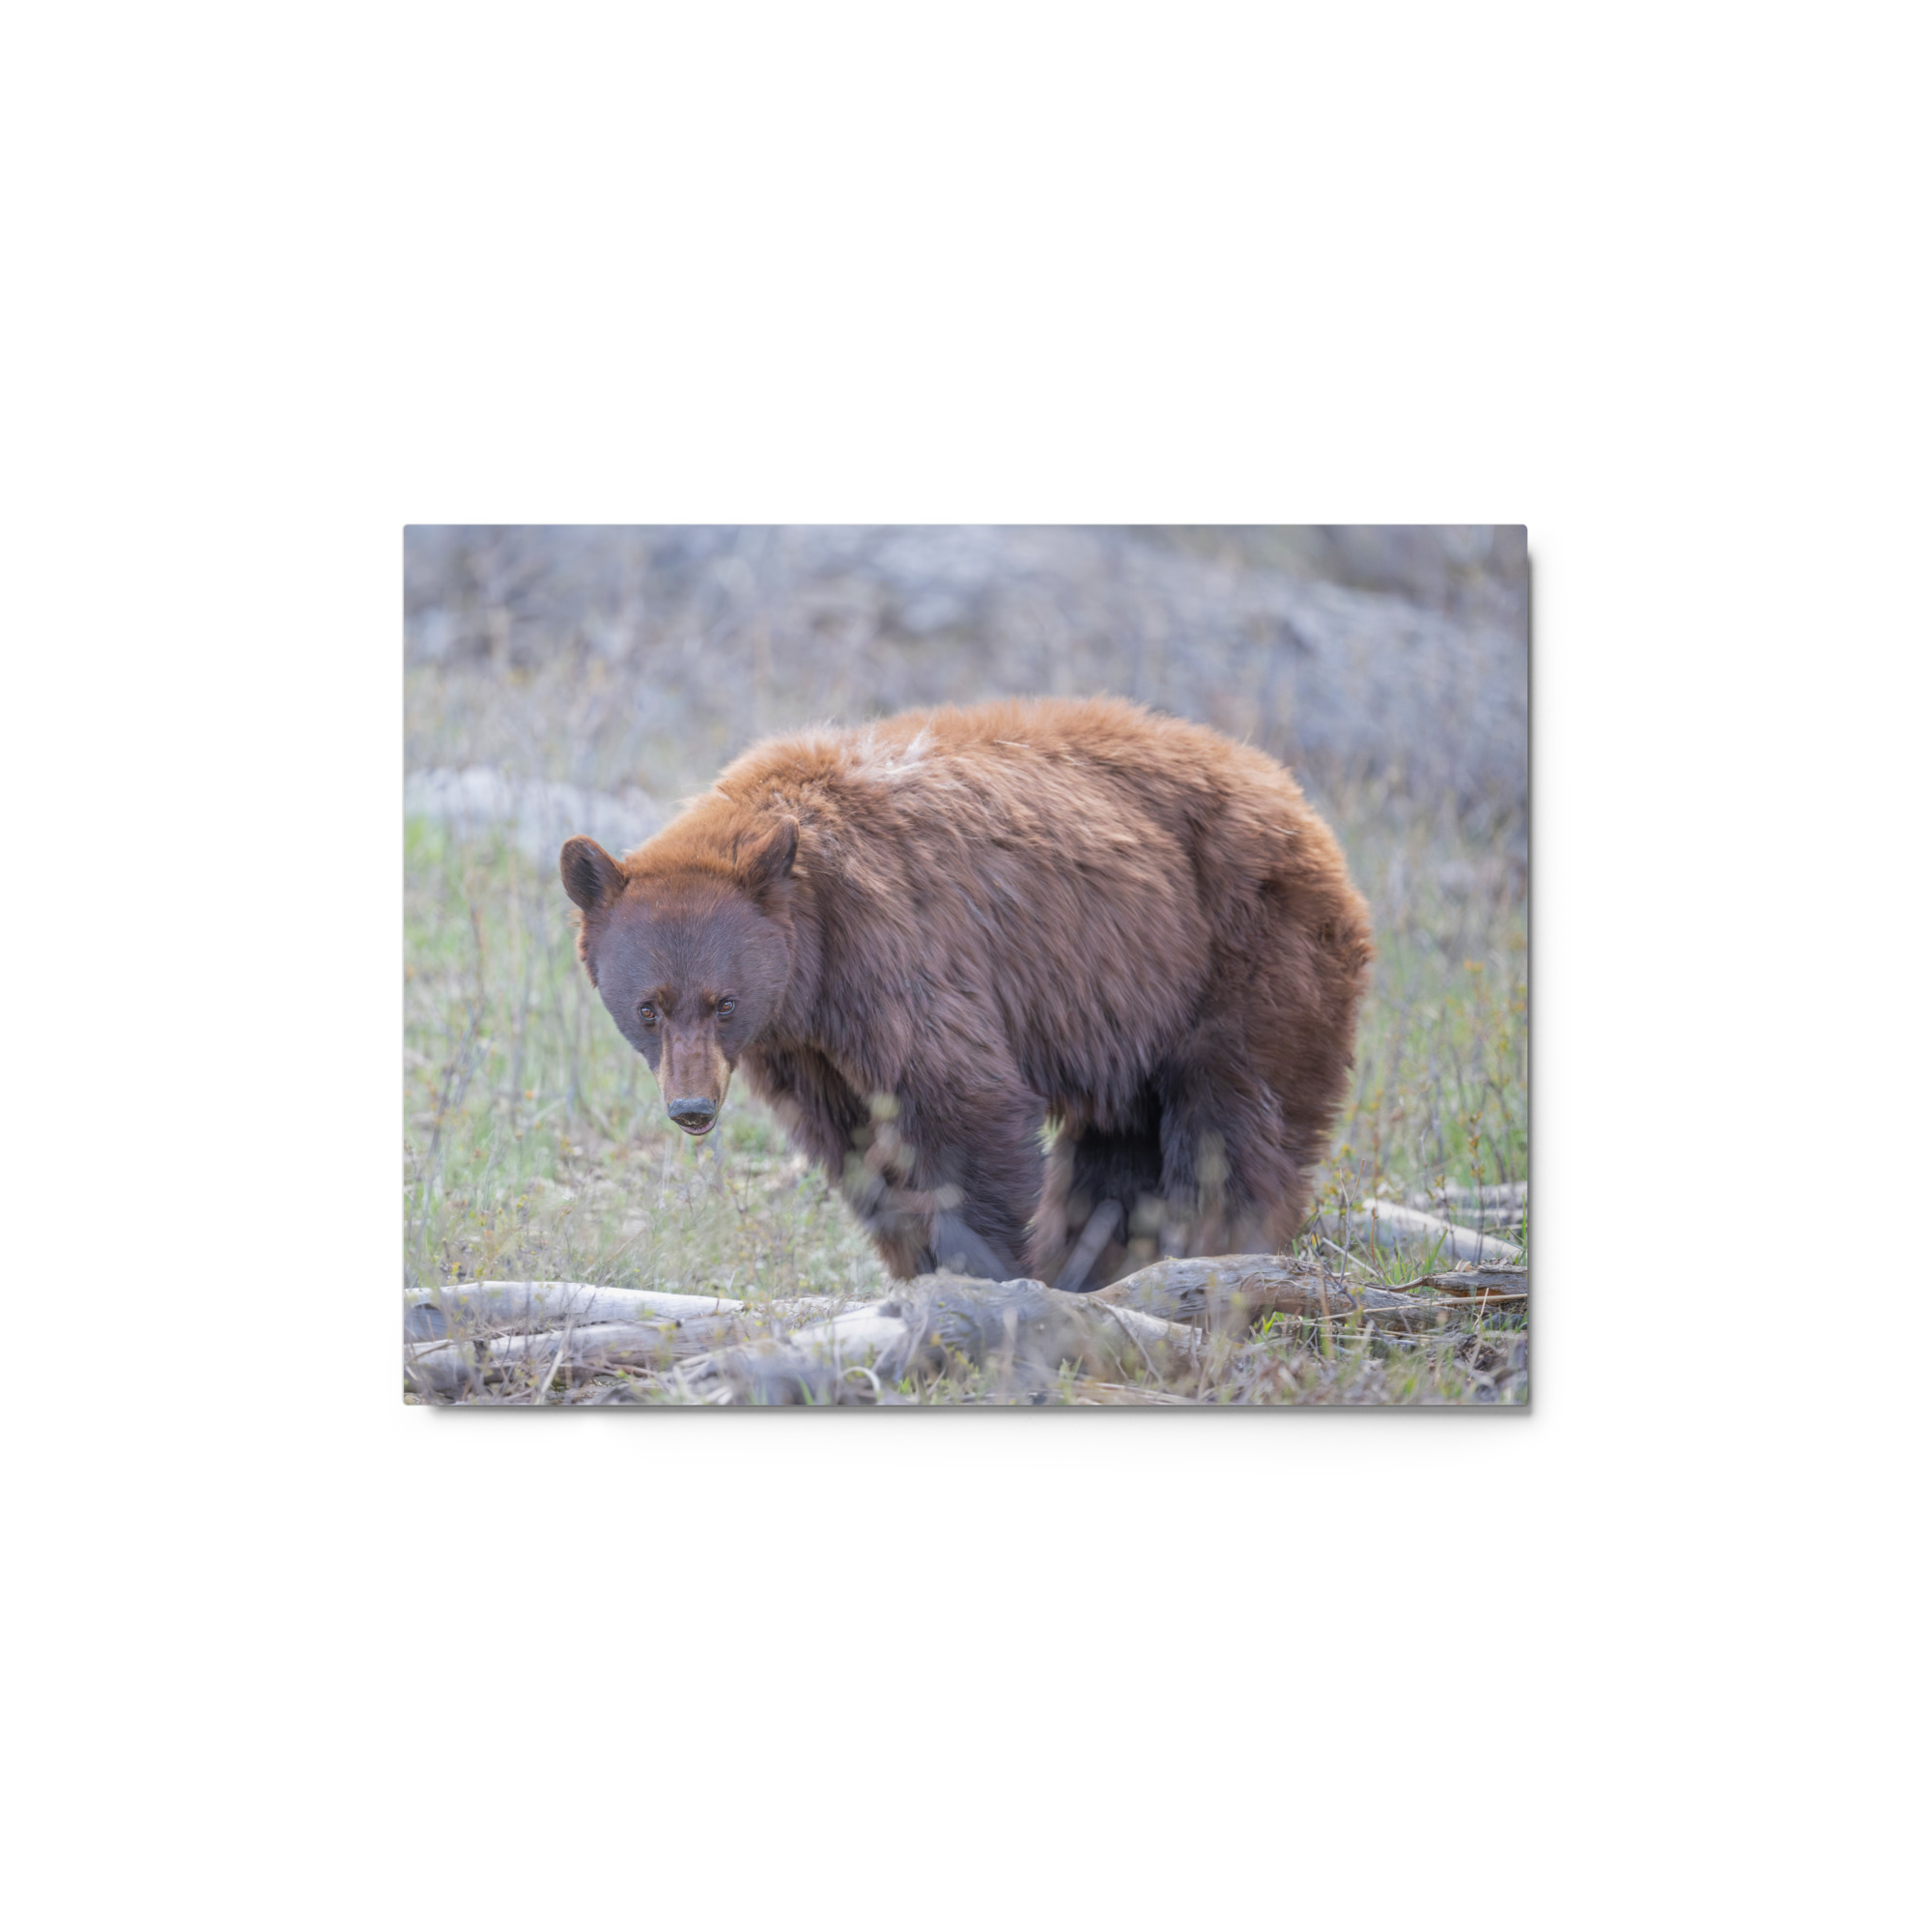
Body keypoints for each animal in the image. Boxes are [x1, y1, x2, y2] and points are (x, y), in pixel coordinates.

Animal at [560, 696, 1373, 1290]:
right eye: (649, 1008)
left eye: (723, 1002)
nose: (692, 1108)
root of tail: (1295, 798)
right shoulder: (804, 1046)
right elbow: (857, 1145)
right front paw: (920, 1266)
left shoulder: (896, 951)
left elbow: (962, 1105)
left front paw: (985, 1272)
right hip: (1135, 1007)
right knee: (1119, 1148)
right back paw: (1100, 1262)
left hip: (1245, 953)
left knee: (1233, 1123)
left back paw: (1213, 1249)